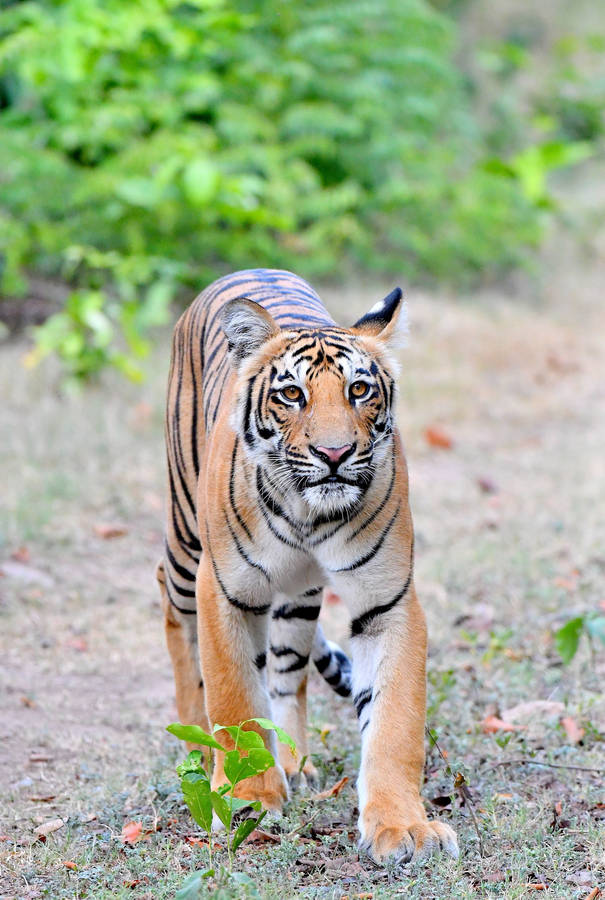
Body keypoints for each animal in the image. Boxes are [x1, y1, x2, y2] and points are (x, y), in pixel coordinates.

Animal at [156, 268, 458, 864]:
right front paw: (248, 799)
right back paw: (196, 742)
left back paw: (294, 761)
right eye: (291, 394)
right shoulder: (222, 589)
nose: (335, 454)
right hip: (184, 543)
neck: (308, 514)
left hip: (298, 599)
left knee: (286, 672)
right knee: (173, 610)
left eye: (359, 390)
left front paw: (403, 826)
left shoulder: (387, 601)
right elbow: (234, 702)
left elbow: (395, 722)